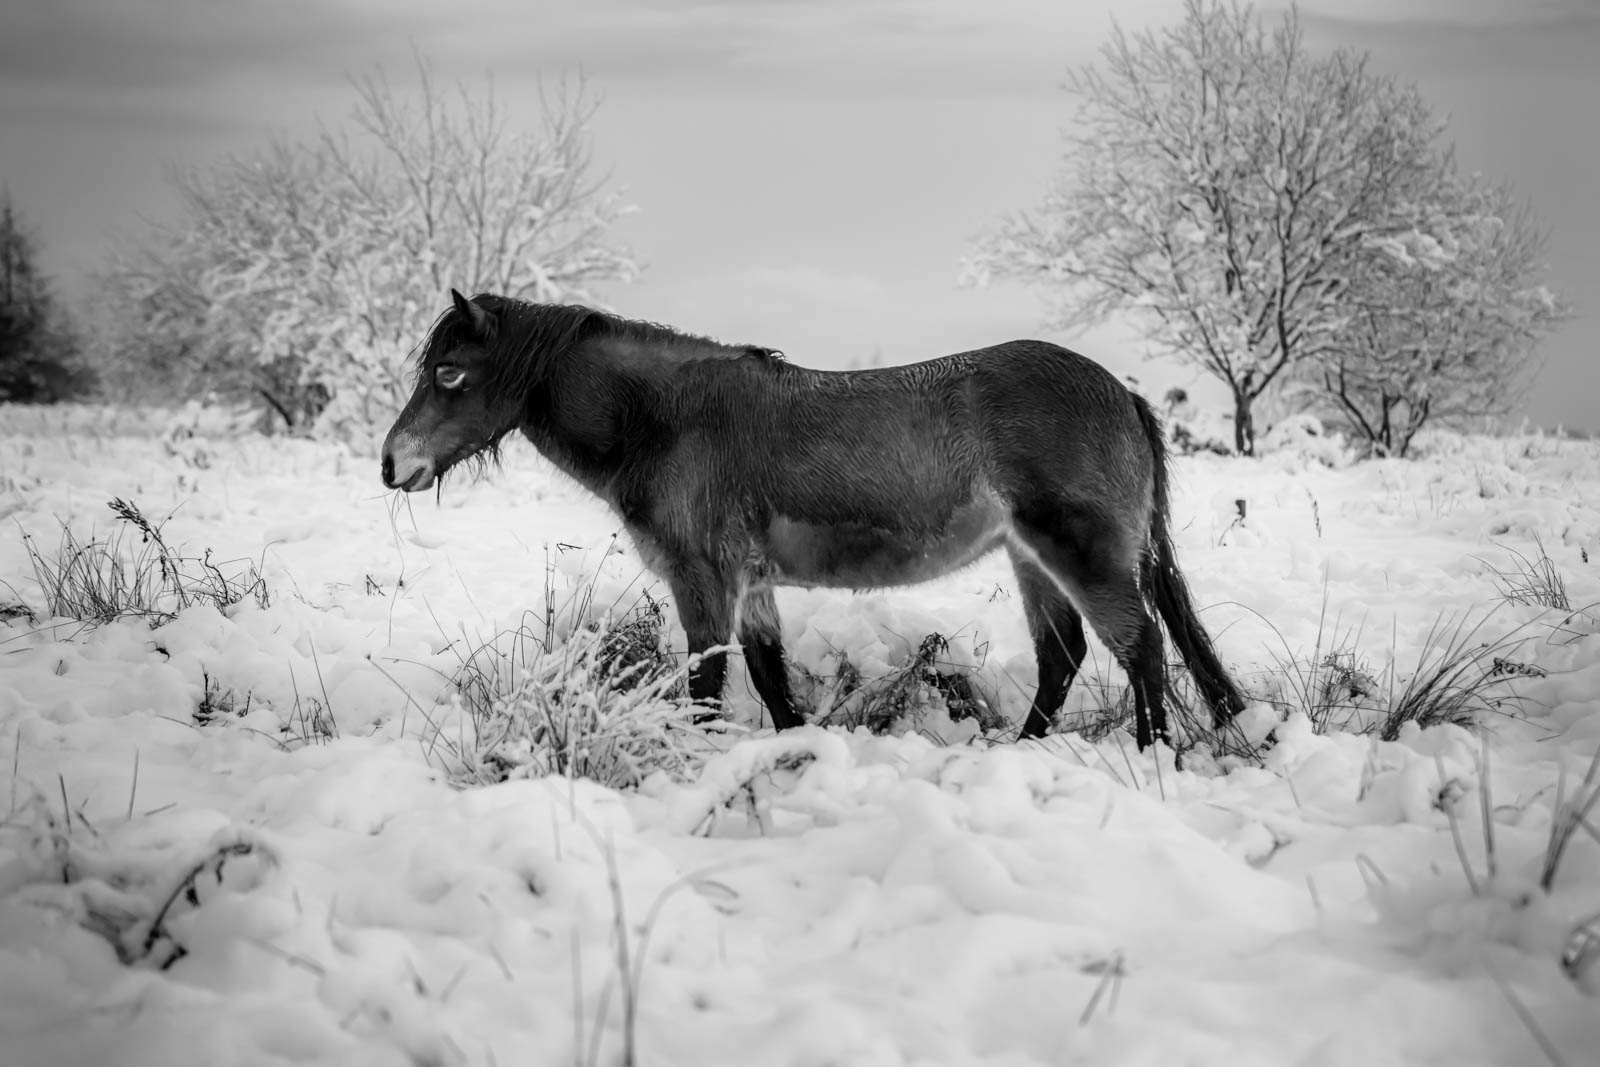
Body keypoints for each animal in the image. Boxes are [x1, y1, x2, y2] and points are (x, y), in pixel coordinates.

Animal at [382, 289, 1246, 749]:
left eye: (450, 372)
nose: (392, 462)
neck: (664, 418)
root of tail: (1122, 393)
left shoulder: (702, 581)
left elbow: (706, 685)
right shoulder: (750, 582)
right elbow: (770, 678)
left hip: (1081, 553)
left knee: (1139, 646)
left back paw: (1153, 756)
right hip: (1030, 555)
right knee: (1062, 655)